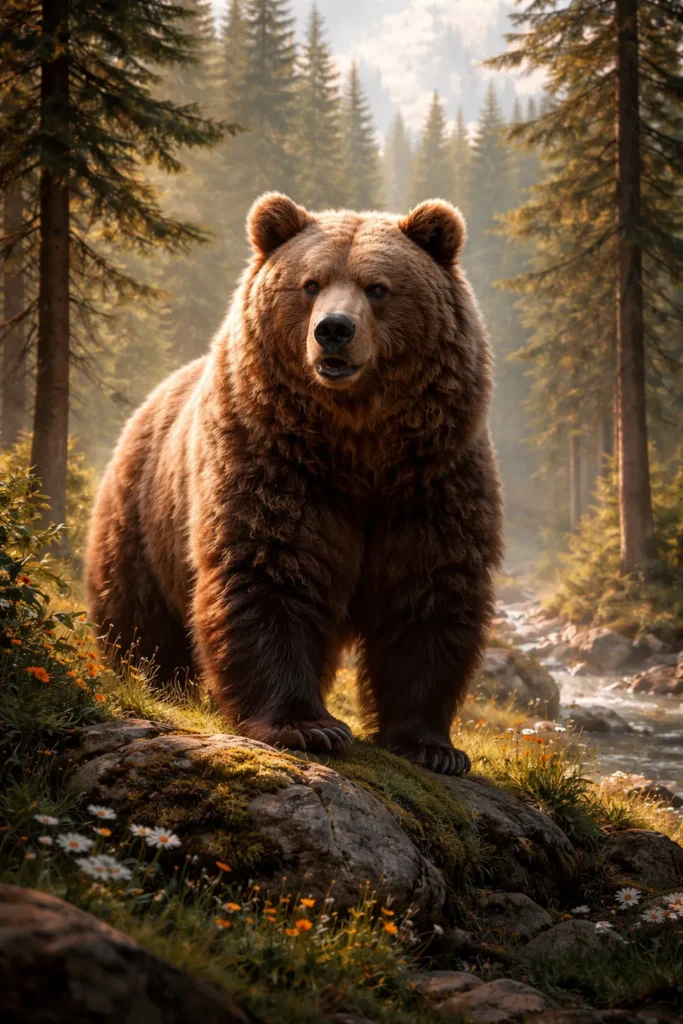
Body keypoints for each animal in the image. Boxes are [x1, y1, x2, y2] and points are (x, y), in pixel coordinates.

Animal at [86, 192, 504, 775]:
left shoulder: (432, 480)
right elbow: (271, 568)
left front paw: (432, 746)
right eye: (311, 283)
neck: (359, 445)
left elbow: (428, 590)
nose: (334, 329)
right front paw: (308, 726)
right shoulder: (276, 460)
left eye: (378, 287)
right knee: (141, 619)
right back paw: (154, 679)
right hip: (143, 518)